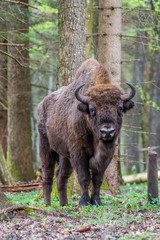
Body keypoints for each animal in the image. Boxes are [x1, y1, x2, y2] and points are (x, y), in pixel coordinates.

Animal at [37, 58, 136, 206]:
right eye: (92, 109)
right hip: (45, 147)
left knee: (61, 176)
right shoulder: (78, 152)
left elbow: (97, 178)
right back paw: (48, 204)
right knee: (47, 175)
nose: (107, 132)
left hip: (65, 157)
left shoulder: (107, 154)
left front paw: (96, 200)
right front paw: (84, 201)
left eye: (120, 109)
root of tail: (41, 105)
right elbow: (84, 177)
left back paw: (64, 204)